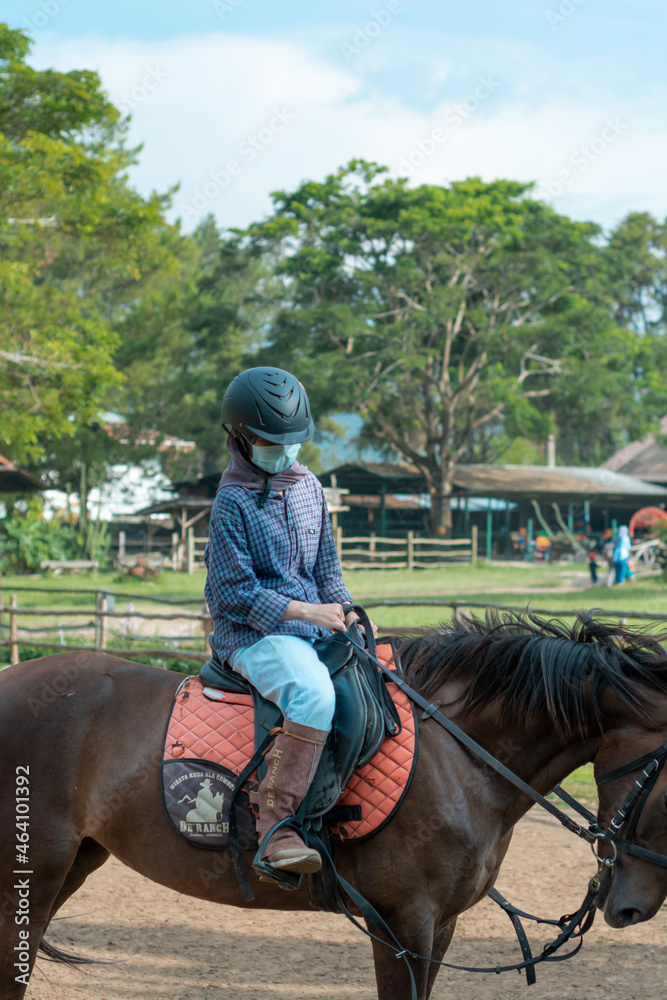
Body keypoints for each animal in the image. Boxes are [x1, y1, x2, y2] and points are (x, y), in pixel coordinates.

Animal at [1, 608, 667, 1000]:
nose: (631, 909)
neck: (460, 755)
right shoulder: (401, 925)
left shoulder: (441, 926)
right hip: (32, 874)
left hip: (74, 864)